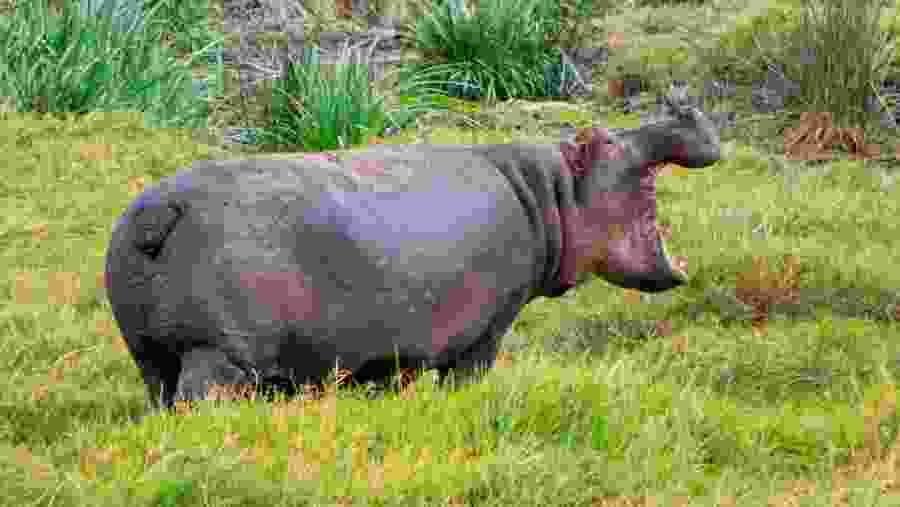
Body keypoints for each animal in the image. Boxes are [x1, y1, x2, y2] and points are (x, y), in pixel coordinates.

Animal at [105, 91, 733, 412]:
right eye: (604, 139)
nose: (683, 106)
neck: (551, 190)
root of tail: (160, 210)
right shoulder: (487, 329)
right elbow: (468, 377)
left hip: (150, 355)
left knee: (159, 394)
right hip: (218, 356)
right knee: (201, 400)